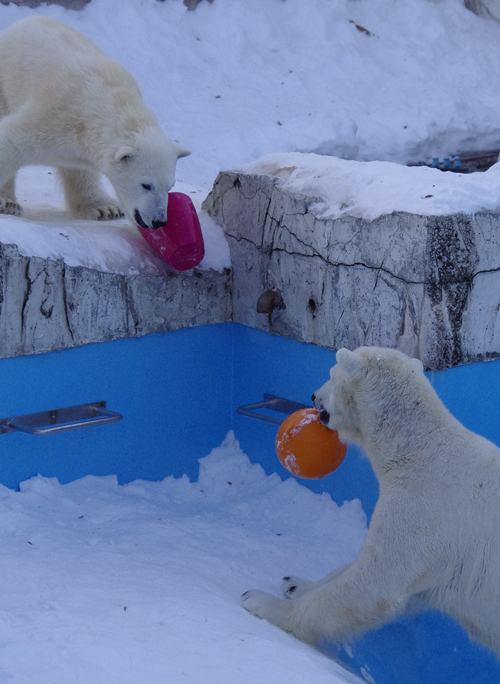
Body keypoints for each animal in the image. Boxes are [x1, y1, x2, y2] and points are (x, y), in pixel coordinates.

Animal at [0, 14, 190, 228]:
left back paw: (104, 208)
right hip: (5, 84)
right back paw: (8, 203)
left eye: (170, 186)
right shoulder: (54, 115)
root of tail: (27, 20)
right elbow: (11, 141)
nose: (159, 221)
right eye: (146, 184)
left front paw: (107, 208)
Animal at [241, 348, 500, 656]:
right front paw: (294, 584)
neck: (422, 451)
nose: (313, 395)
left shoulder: (426, 511)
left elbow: (375, 583)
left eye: (331, 373)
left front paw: (258, 600)